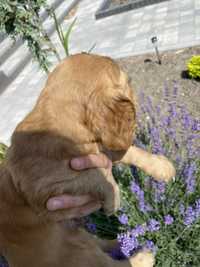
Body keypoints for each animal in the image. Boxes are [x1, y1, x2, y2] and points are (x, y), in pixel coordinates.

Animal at [0, 53, 174, 266]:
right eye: (128, 82)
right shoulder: (42, 186)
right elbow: (92, 176)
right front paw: (114, 197)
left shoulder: (101, 148)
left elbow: (128, 152)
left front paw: (161, 166)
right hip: (72, 254)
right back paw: (143, 256)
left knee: (101, 243)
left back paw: (123, 240)